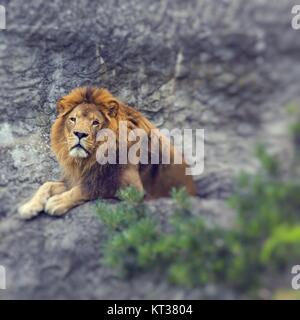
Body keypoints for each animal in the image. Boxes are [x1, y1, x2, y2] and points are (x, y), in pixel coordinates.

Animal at [18, 86, 197, 219]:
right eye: (73, 119)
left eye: (95, 122)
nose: (80, 134)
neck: (89, 159)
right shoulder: (76, 177)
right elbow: (47, 184)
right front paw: (28, 207)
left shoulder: (133, 190)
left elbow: (92, 187)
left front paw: (57, 202)